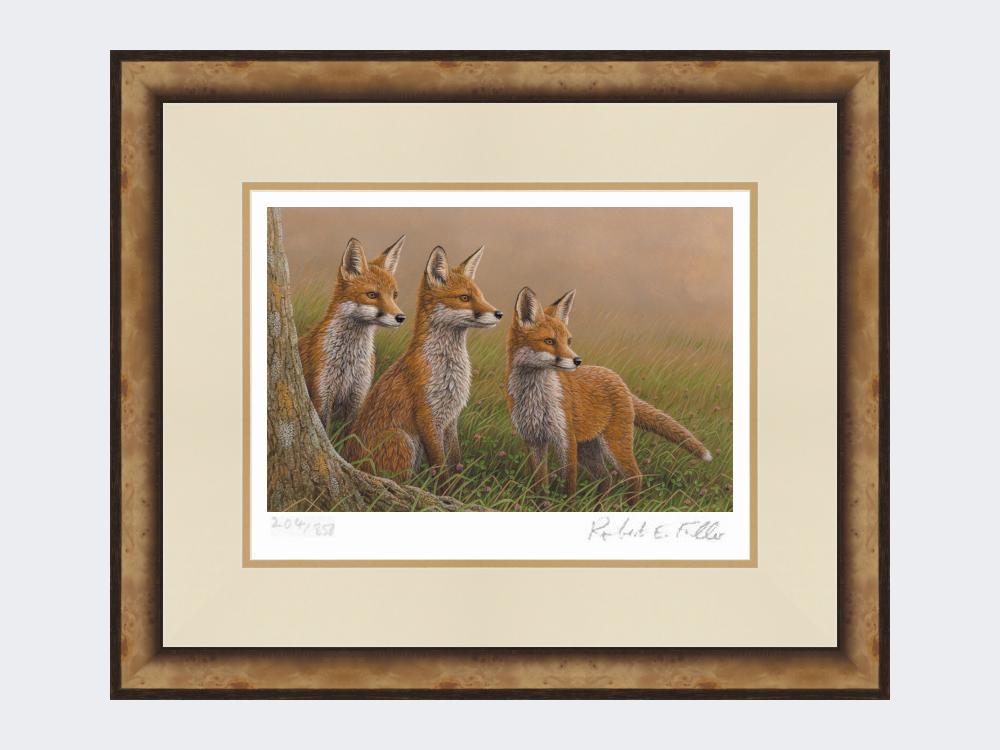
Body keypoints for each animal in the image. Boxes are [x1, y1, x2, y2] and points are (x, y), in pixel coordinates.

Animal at [298, 235, 406, 431]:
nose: (401, 317)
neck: (349, 361)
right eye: (372, 295)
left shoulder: (357, 397)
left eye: (394, 295)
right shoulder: (322, 395)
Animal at [344, 245, 502, 481]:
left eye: (481, 296)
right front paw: (443, 489)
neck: (447, 369)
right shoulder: (427, 416)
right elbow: (440, 467)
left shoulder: (450, 419)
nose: (499, 313)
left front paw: (456, 487)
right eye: (464, 298)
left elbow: (455, 462)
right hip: (401, 439)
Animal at [505, 286, 712, 501]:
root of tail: (618, 379)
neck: (535, 397)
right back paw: (598, 505)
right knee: (606, 479)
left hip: (614, 444)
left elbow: (569, 485)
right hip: (588, 449)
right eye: (549, 341)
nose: (577, 361)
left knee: (635, 477)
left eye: (569, 341)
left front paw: (567, 505)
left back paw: (629, 505)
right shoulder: (533, 439)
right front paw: (542, 504)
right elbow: (539, 484)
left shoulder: (565, 439)